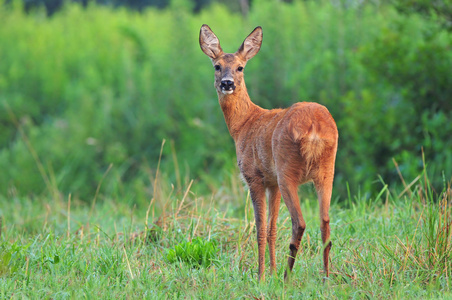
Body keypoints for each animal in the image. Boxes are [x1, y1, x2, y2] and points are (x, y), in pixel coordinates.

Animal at [200, 24, 338, 282]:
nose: (227, 83)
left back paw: (287, 276)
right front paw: (271, 272)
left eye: (240, 67)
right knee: (325, 221)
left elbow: (260, 228)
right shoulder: (271, 182)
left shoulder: (254, 176)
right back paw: (325, 277)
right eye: (217, 66)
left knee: (299, 222)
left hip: (287, 170)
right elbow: (272, 228)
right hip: (326, 170)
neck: (243, 125)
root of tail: (314, 126)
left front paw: (262, 276)